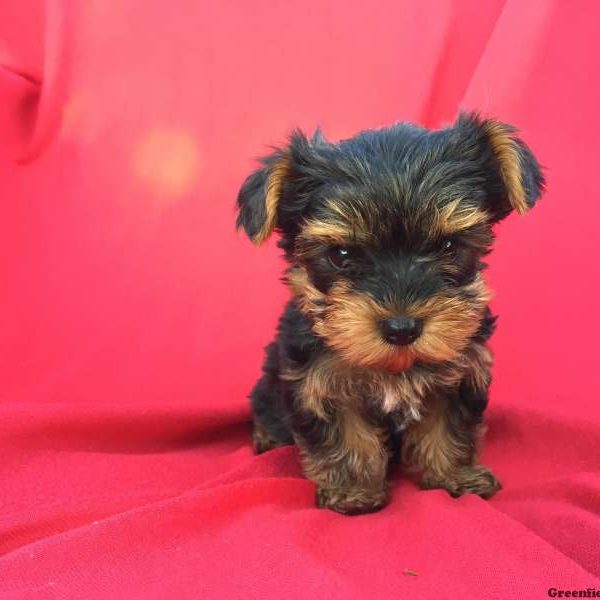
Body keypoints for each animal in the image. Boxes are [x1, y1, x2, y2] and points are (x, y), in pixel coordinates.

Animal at [236, 113, 544, 516]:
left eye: (449, 246)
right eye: (341, 255)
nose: (402, 328)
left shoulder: (461, 369)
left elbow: (450, 424)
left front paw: (454, 476)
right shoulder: (320, 379)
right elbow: (345, 436)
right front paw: (353, 490)